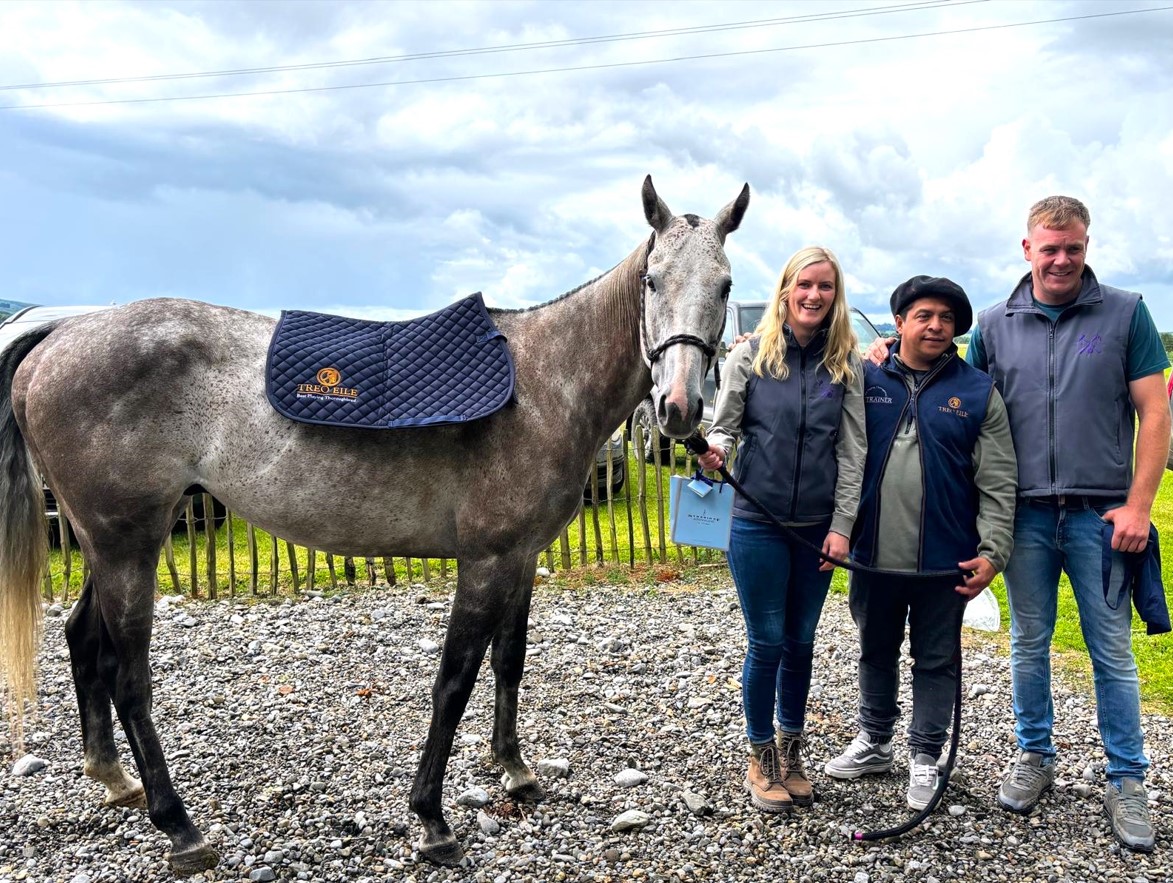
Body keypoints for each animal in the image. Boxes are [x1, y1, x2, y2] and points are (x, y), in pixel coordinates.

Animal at [0, 175, 746, 872]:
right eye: (652, 280)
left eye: (725, 284)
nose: (679, 409)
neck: (542, 383)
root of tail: (58, 337)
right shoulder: (486, 562)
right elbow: (455, 680)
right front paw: (432, 820)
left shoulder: (523, 558)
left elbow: (508, 662)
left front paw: (515, 771)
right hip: (127, 544)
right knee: (128, 675)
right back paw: (179, 825)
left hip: (109, 543)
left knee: (83, 639)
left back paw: (113, 779)